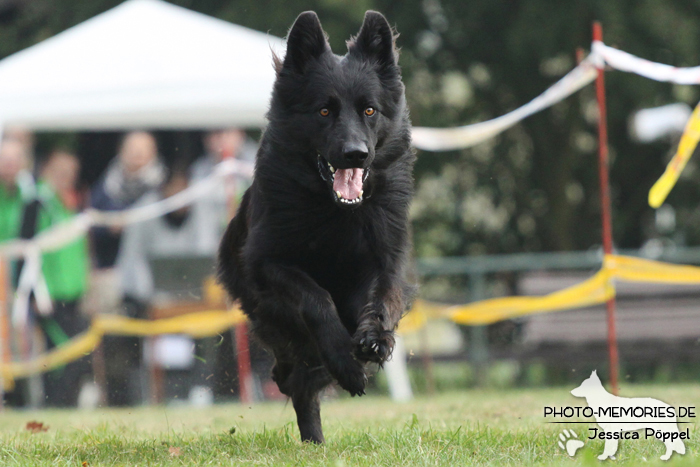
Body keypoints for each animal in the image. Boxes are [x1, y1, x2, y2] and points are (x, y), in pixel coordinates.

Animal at [219, 9, 416, 444]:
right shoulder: (268, 263)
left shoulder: (387, 261)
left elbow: (381, 298)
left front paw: (374, 338)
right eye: (324, 111)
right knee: (295, 375)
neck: (336, 212)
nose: (355, 154)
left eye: (369, 111)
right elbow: (316, 298)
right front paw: (345, 359)